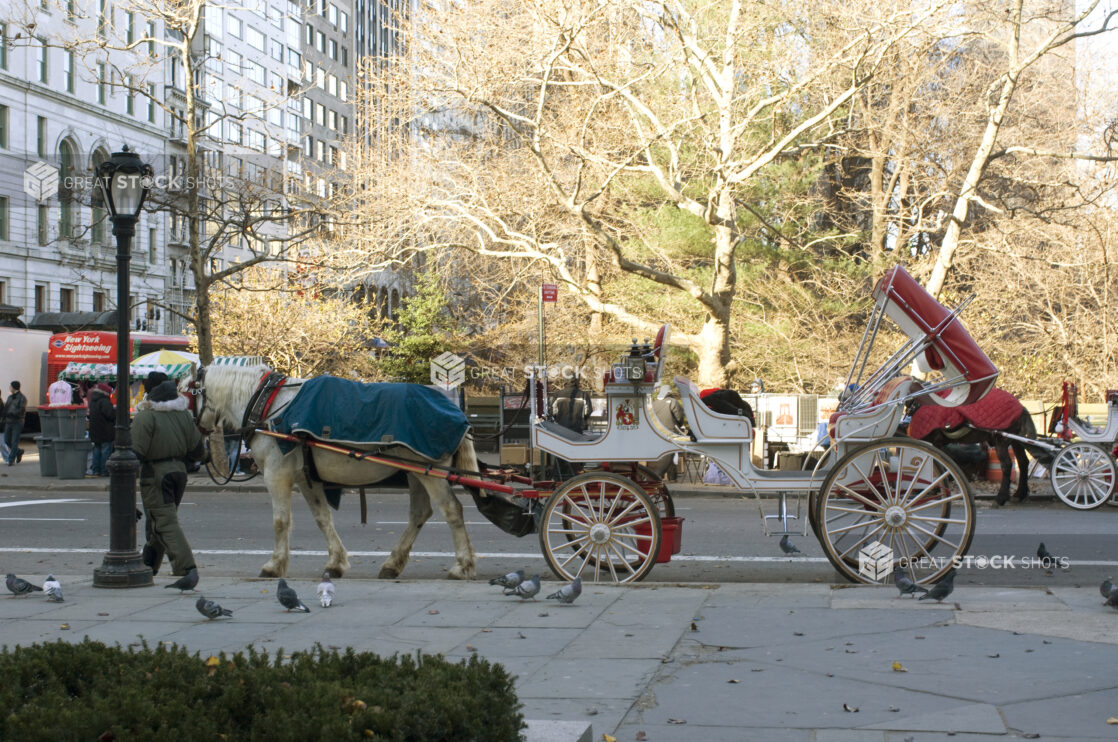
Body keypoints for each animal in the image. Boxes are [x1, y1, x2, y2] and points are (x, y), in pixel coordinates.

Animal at [194, 362, 478, 581]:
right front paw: (335, 563)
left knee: (452, 510)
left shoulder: (276, 475)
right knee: (419, 514)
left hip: (432, 473)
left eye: (188, 391)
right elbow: (322, 518)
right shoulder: (306, 479)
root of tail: (457, 412)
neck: (267, 404)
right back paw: (392, 564)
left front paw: (274, 566)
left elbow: (280, 521)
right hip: (416, 473)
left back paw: (462, 565)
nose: (198, 443)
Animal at [903, 384, 1033, 507]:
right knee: (1023, 462)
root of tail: (1021, 408)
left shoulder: (931, 442)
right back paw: (1020, 493)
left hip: (1001, 440)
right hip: (1015, 441)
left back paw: (1001, 498)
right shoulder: (937, 444)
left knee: (1006, 465)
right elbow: (939, 467)